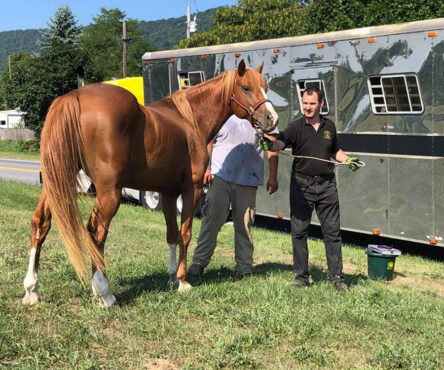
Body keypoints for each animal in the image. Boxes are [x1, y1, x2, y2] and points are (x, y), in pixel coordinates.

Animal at [22, 60, 278, 308]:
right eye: (246, 87)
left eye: (265, 86)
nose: (271, 119)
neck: (190, 120)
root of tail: (75, 95)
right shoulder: (192, 190)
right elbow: (185, 233)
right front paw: (183, 281)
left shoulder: (168, 193)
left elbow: (171, 234)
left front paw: (172, 275)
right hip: (108, 193)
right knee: (96, 233)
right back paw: (104, 294)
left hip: (58, 181)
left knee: (40, 222)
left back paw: (31, 289)